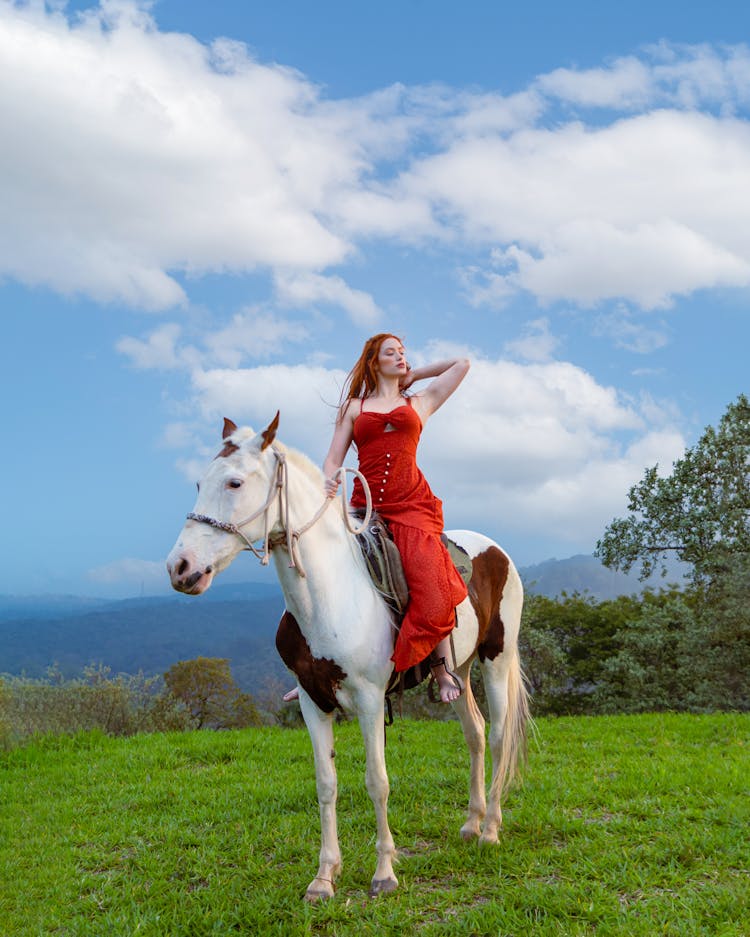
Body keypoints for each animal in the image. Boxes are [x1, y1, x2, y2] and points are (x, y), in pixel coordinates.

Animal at [166, 414, 528, 900]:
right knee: (475, 732)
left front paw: (384, 873)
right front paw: (324, 877)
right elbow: (326, 784)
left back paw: (490, 829)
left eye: (235, 482)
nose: (180, 568)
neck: (331, 593)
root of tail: (497, 549)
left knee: (500, 737)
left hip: (496, 659)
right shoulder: (311, 701)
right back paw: (471, 823)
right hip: (461, 667)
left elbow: (377, 781)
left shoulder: (371, 701)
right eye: (199, 483)